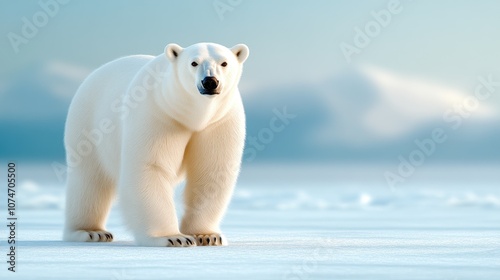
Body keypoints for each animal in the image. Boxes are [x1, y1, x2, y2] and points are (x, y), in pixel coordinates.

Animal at [63, 42, 250, 246]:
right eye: (194, 63)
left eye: (224, 63)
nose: (210, 82)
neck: (193, 116)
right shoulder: (158, 114)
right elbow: (151, 167)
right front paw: (173, 237)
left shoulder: (219, 122)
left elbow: (211, 171)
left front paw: (206, 235)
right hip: (87, 125)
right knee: (89, 182)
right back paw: (91, 232)